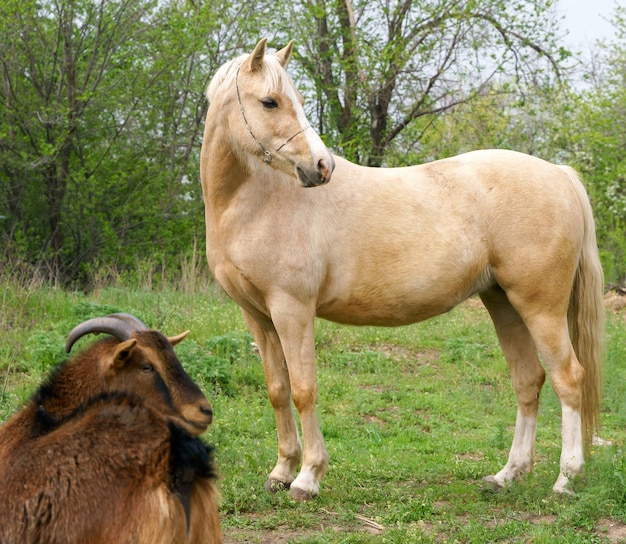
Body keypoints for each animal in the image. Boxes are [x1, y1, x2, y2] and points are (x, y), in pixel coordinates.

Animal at [200, 39, 600, 502]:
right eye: (270, 101)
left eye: (293, 99)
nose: (321, 167)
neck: (258, 201)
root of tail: (560, 174)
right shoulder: (258, 316)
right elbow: (278, 391)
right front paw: (281, 471)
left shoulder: (291, 310)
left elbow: (304, 390)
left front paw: (307, 477)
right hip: (503, 302)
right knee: (528, 381)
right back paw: (507, 474)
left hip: (541, 308)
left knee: (568, 378)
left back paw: (566, 478)